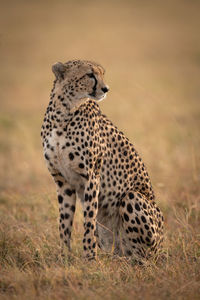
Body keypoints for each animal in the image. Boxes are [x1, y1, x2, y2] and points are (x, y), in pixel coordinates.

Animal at [41, 59, 164, 262]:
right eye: (90, 75)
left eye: (102, 74)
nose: (106, 88)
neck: (64, 112)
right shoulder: (62, 180)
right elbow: (64, 222)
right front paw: (64, 256)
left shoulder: (91, 176)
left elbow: (89, 220)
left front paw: (90, 257)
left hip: (132, 198)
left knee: (142, 256)